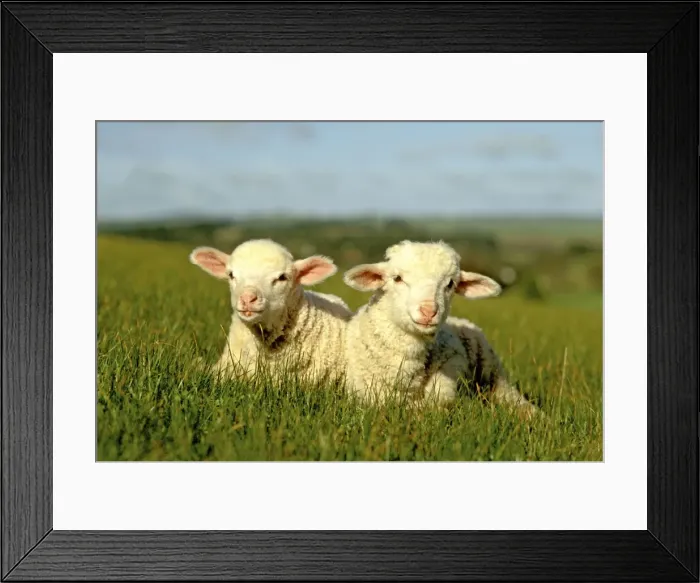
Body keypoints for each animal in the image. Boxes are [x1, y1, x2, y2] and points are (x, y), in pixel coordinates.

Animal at [343, 240, 539, 419]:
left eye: (450, 284)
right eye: (397, 278)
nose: (429, 311)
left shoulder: (452, 363)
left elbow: (437, 400)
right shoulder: (368, 392)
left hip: (491, 368)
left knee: (508, 394)